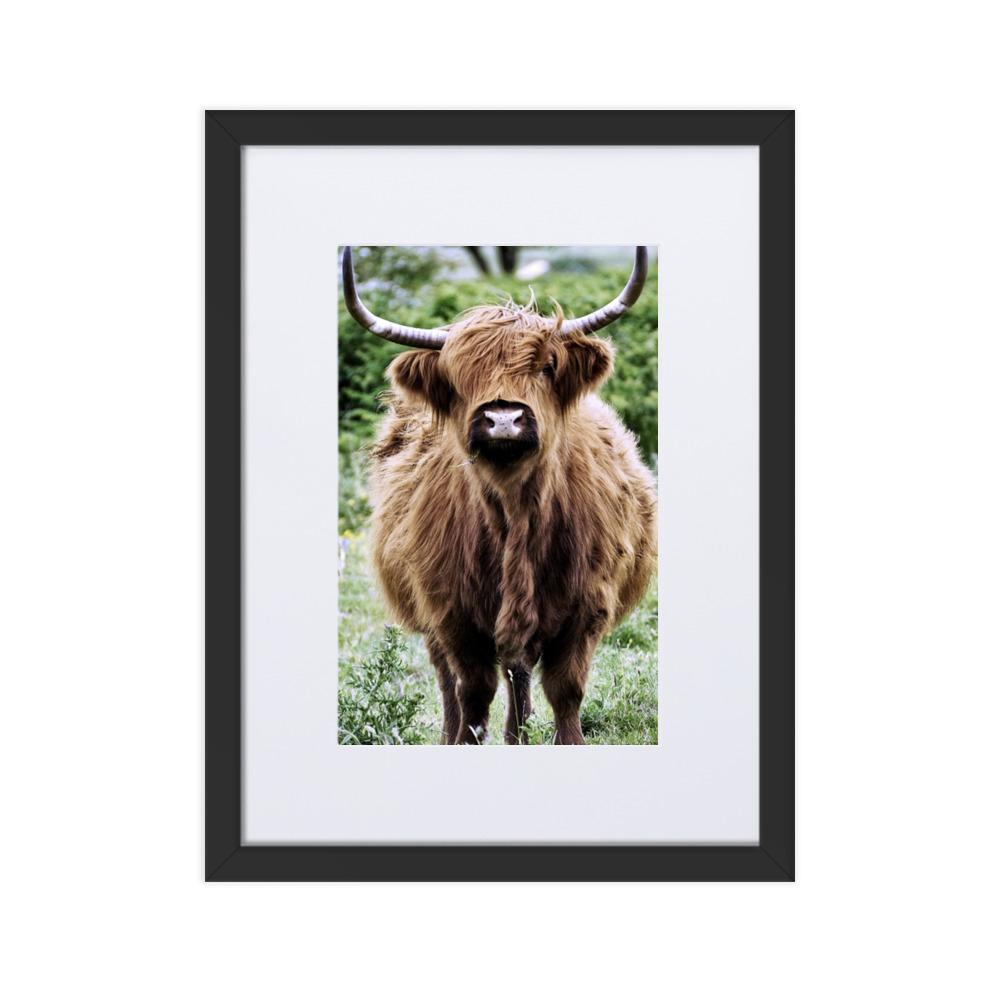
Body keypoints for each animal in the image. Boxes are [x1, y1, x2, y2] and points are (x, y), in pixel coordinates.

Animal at [343, 246, 657, 744]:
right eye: (459, 376)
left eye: (547, 366)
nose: (504, 418)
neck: (516, 511)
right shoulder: (451, 612)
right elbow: (472, 690)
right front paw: (464, 740)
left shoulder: (587, 606)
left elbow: (565, 688)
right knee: (451, 679)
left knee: (518, 670)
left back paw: (517, 734)